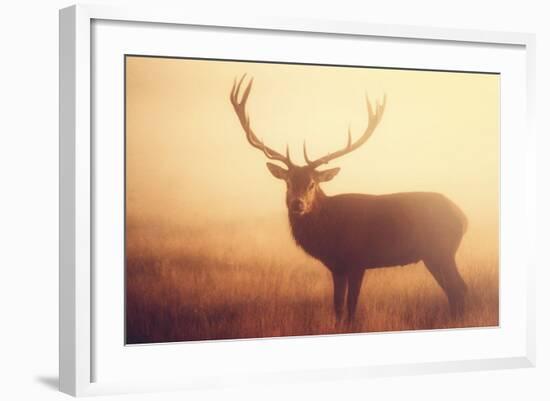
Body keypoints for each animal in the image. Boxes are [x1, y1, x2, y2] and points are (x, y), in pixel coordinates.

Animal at [231, 75, 468, 324]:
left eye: (312, 183)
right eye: (288, 182)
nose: (298, 204)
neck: (329, 234)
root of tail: (464, 218)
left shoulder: (358, 260)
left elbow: (352, 306)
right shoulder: (337, 266)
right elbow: (338, 306)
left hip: (441, 250)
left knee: (459, 288)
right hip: (435, 255)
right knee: (454, 290)